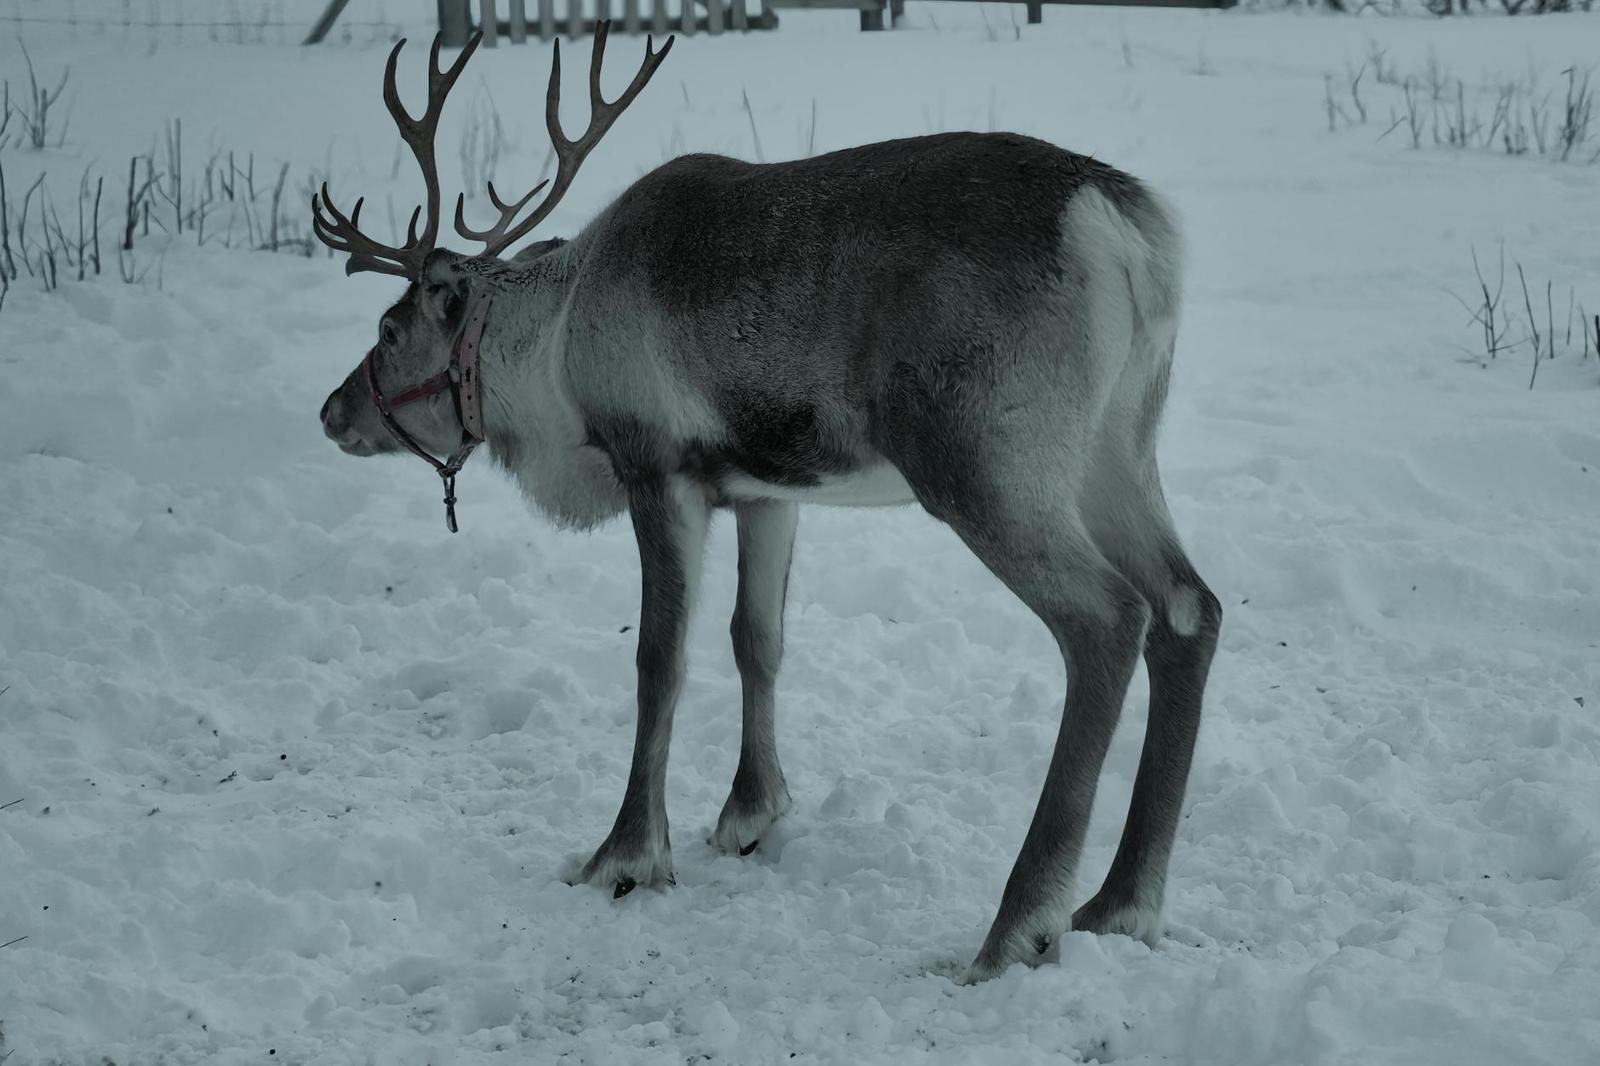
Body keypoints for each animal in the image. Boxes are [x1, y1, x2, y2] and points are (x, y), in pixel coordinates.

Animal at [315, 25, 1221, 984]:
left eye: (390, 330)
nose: (331, 411)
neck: (556, 353)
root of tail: (1124, 227)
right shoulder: (766, 489)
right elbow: (758, 639)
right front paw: (752, 811)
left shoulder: (657, 469)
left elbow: (660, 661)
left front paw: (626, 854)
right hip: (1118, 445)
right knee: (1188, 606)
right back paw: (1121, 905)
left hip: (985, 460)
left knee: (1106, 618)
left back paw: (1019, 926)